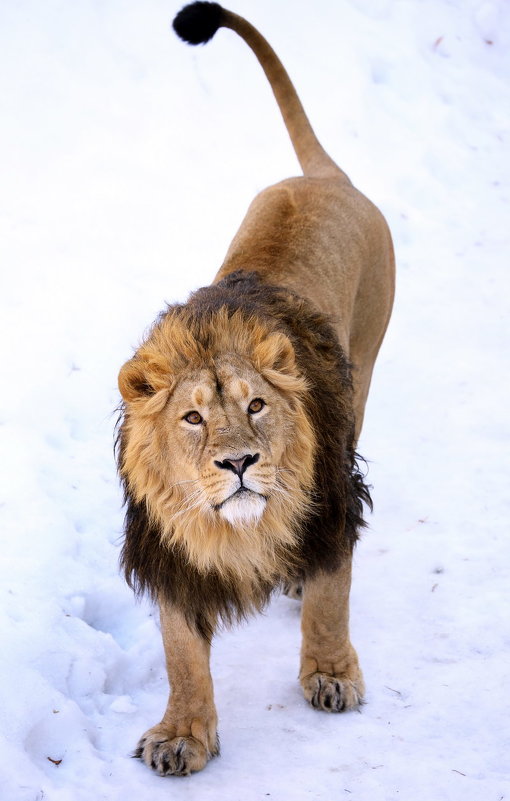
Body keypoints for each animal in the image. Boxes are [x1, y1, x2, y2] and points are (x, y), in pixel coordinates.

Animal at [115, 0, 394, 776]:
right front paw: (182, 735)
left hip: (365, 371)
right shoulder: (172, 547)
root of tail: (330, 179)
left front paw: (331, 674)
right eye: (191, 419)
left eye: (257, 405)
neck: (236, 528)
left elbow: (332, 593)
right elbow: (181, 653)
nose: (239, 462)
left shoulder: (333, 500)